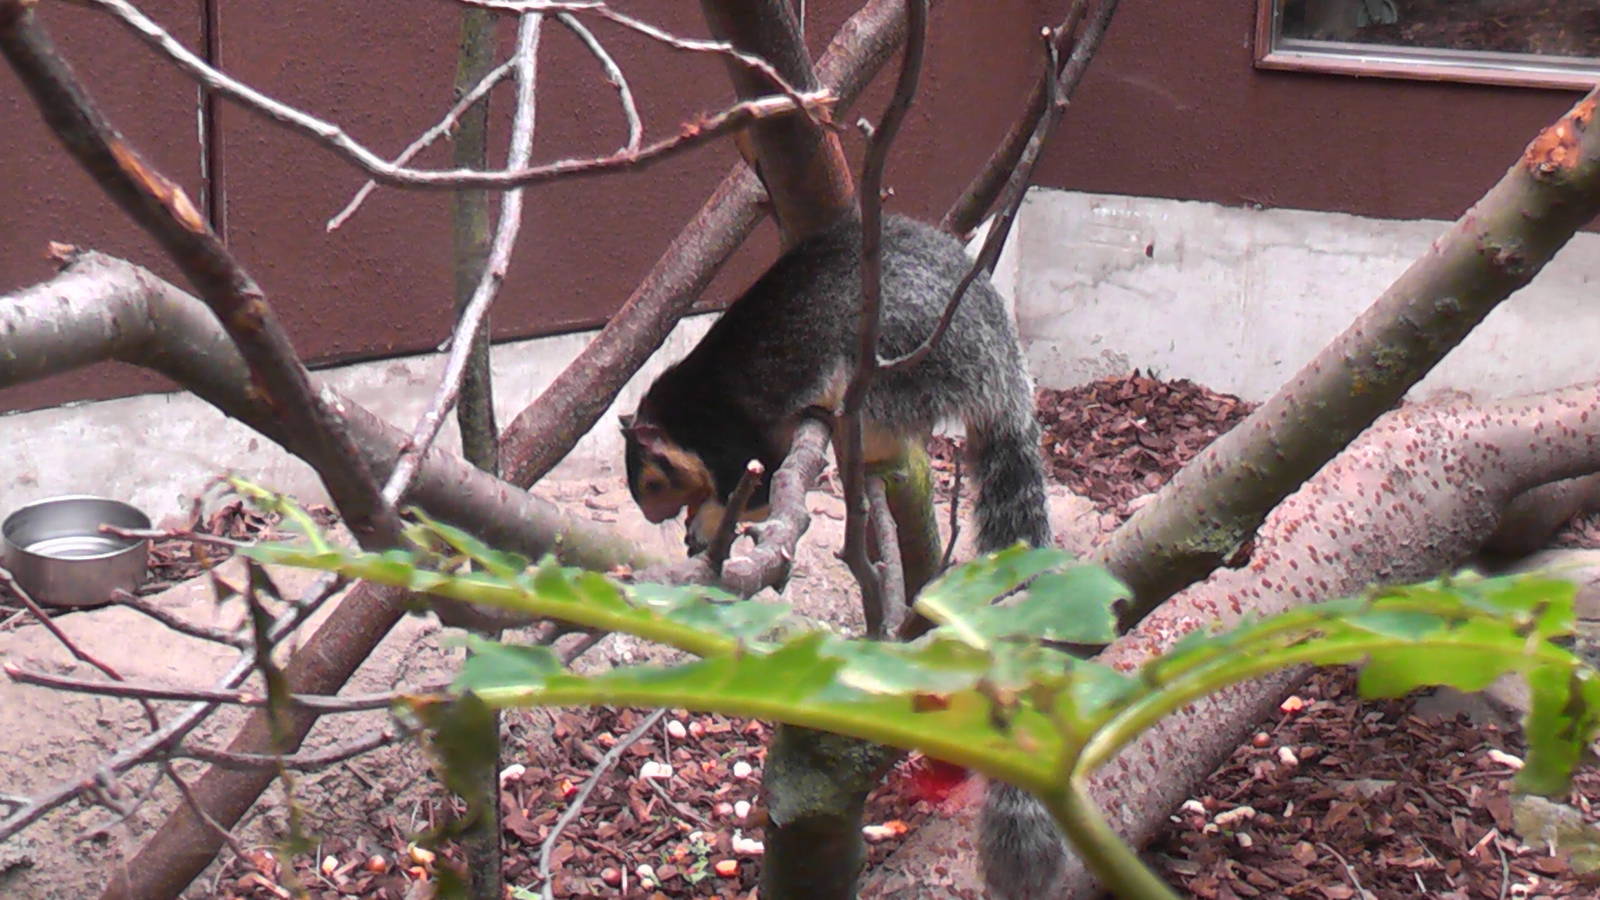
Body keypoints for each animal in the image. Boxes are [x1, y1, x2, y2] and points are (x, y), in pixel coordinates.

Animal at [620, 212, 1064, 897]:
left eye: (649, 479)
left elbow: (758, 486)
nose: (649, 515)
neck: (686, 415)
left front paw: (712, 518)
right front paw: (701, 523)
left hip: (892, 365)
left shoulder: (737, 439)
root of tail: (999, 365)